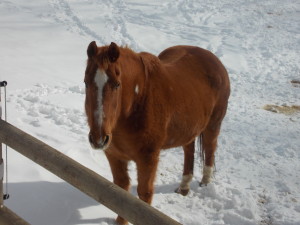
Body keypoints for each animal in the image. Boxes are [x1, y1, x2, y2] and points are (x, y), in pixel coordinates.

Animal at [84, 41, 230, 224]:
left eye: (117, 84)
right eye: (86, 82)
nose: (98, 139)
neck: (138, 102)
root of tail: (214, 60)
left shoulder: (148, 158)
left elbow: (144, 195)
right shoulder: (114, 155)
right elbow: (121, 190)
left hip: (213, 125)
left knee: (210, 148)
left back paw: (204, 182)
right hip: (189, 129)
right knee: (189, 150)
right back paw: (184, 187)